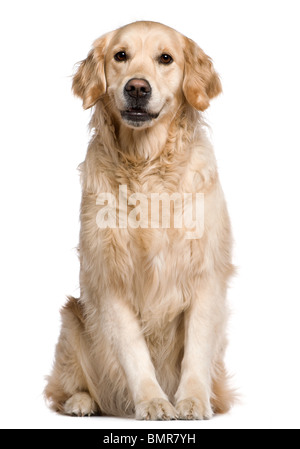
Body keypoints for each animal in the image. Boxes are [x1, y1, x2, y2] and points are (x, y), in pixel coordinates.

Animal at [45, 20, 234, 420]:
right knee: (64, 388)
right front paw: (154, 402)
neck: (146, 165)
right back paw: (82, 402)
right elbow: (134, 353)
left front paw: (192, 401)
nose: (136, 87)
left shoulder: (206, 274)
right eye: (121, 55)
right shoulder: (109, 279)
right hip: (72, 319)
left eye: (166, 58)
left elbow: (197, 350)